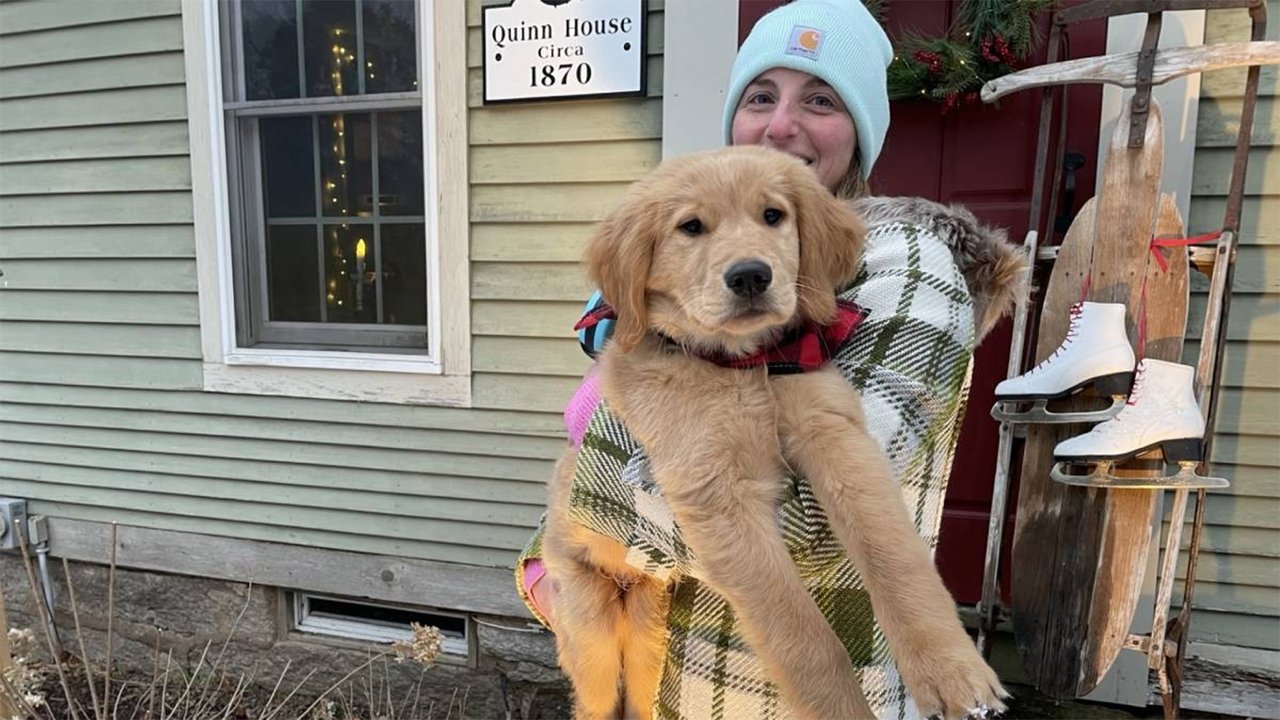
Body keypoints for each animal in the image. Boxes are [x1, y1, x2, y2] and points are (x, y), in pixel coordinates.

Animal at [545, 146, 1003, 717]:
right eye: (690, 227)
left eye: (773, 215)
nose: (749, 276)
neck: (743, 365)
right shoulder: (715, 490)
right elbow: (799, 631)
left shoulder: (833, 430)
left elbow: (893, 552)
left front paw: (951, 670)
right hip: (592, 634)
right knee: (596, 695)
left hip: (650, 633)